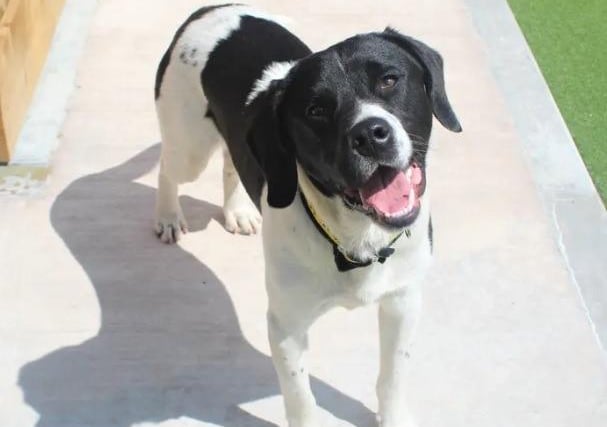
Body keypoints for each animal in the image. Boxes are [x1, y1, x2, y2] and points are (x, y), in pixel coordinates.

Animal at [154, 4, 464, 427]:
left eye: (389, 80)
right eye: (316, 110)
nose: (370, 134)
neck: (356, 240)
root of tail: (211, 8)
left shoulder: (403, 301)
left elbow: (392, 376)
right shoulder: (287, 325)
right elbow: (301, 398)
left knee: (232, 159)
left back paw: (237, 211)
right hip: (189, 147)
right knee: (168, 167)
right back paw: (168, 216)